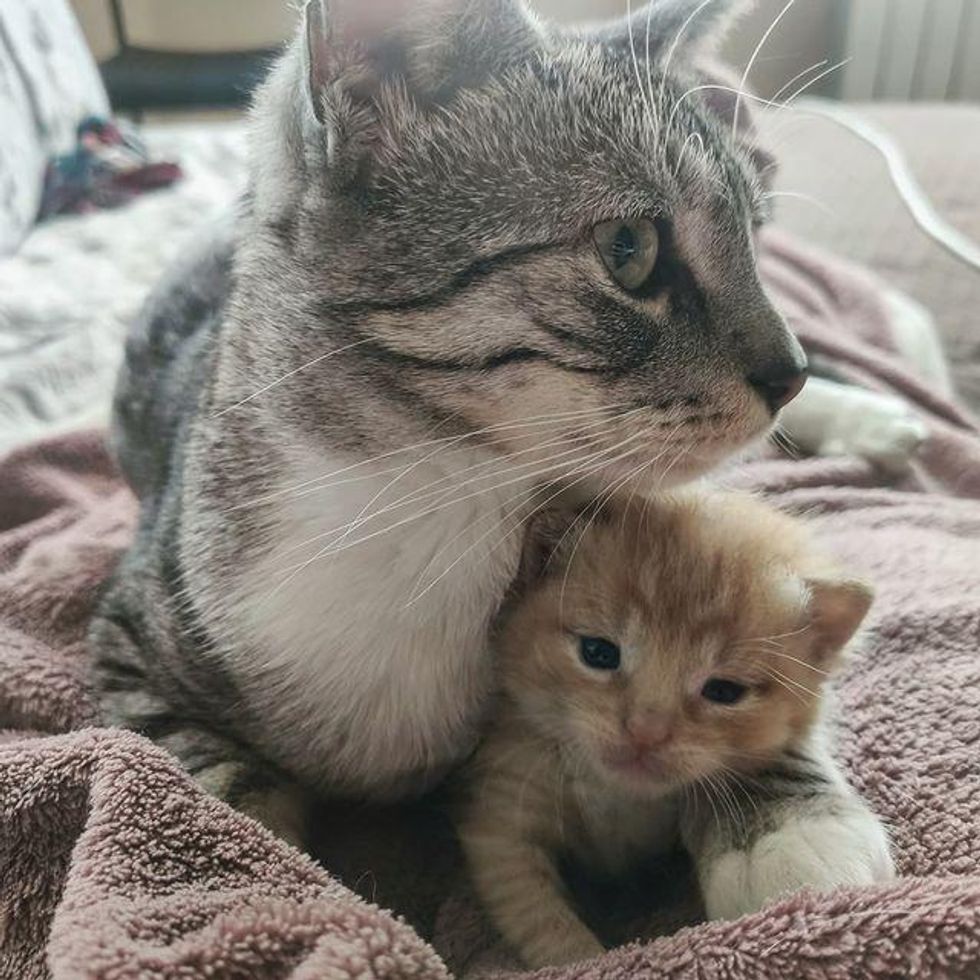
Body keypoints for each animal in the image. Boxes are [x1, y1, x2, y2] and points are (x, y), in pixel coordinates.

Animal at [460, 494, 872, 968]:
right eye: (598, 652)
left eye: (723, 691)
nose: (645, 731)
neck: (618, 795)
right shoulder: (502, 817)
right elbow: (535, 914)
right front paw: (585, 958)